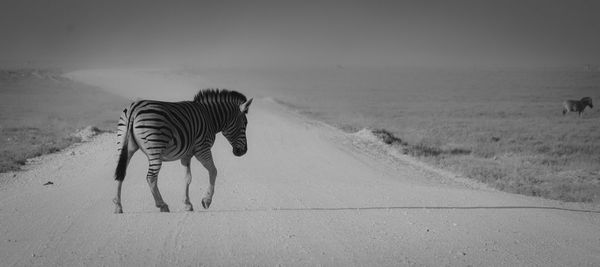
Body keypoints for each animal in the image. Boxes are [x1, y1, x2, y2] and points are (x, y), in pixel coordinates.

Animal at [113, 89, 253, 215]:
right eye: (245, 123)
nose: (244, 151)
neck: (210, 117)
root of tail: (133, 109)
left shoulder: (186, 155)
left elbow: (187, 178)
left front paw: (187, 204)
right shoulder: (202, 149)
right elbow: (213, 171)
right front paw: (206, 200)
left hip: (124, 147)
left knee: (120, 174)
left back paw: (118, 206)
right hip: (155, 148)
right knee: (151, 178)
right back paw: (162, 205)